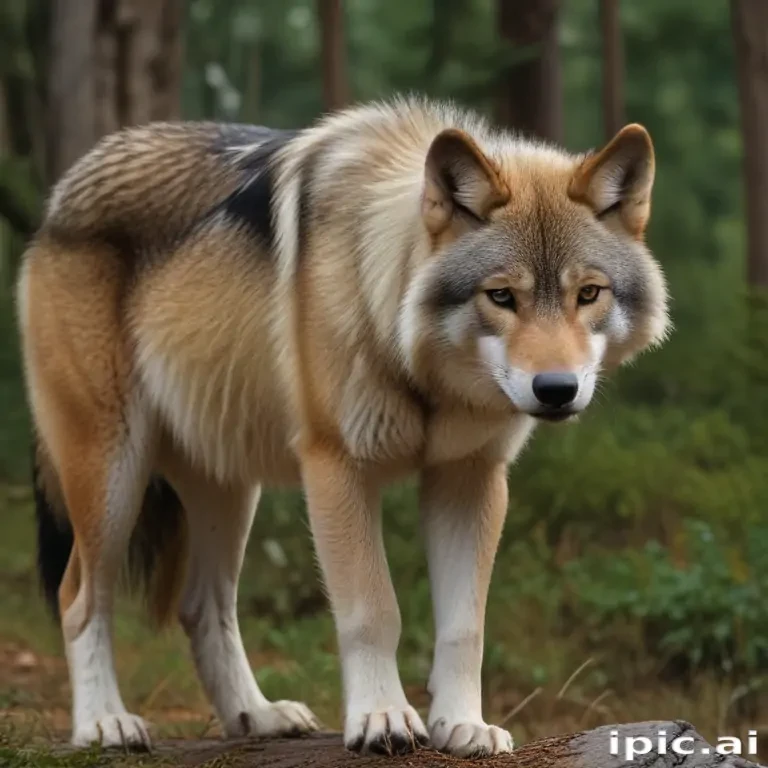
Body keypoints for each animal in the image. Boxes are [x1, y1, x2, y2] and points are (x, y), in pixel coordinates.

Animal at [16, 96, 669, 757]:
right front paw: (383, 717)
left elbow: (466, 626)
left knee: (203, 607)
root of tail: (65, 189)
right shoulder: (336, 467)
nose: (556, 390)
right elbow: (373, 611)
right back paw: (104, 723)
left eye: (588, 293)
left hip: (228, 487)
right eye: (502, 296)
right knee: (79, 597)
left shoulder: (470, 478)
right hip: (112, 474)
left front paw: (462, 725)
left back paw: (258, 716)